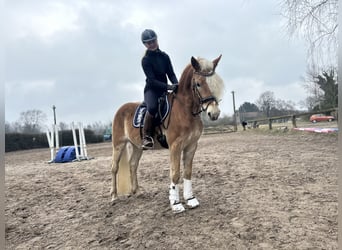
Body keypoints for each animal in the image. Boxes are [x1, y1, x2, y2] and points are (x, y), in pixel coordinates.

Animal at [111, 54, 226, 213]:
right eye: (198, 84)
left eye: (216, 83)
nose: (214, 113)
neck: (185, 109)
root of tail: (121, 109)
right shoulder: (175, 146)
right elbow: (175, 173)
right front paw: (176, 203)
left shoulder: (191, 145)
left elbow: (187, 172)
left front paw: (191, 199)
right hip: (118, 144)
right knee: (114, 168)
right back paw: (114, 197)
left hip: (137, 146)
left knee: (133, 165)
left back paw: (137, 192)